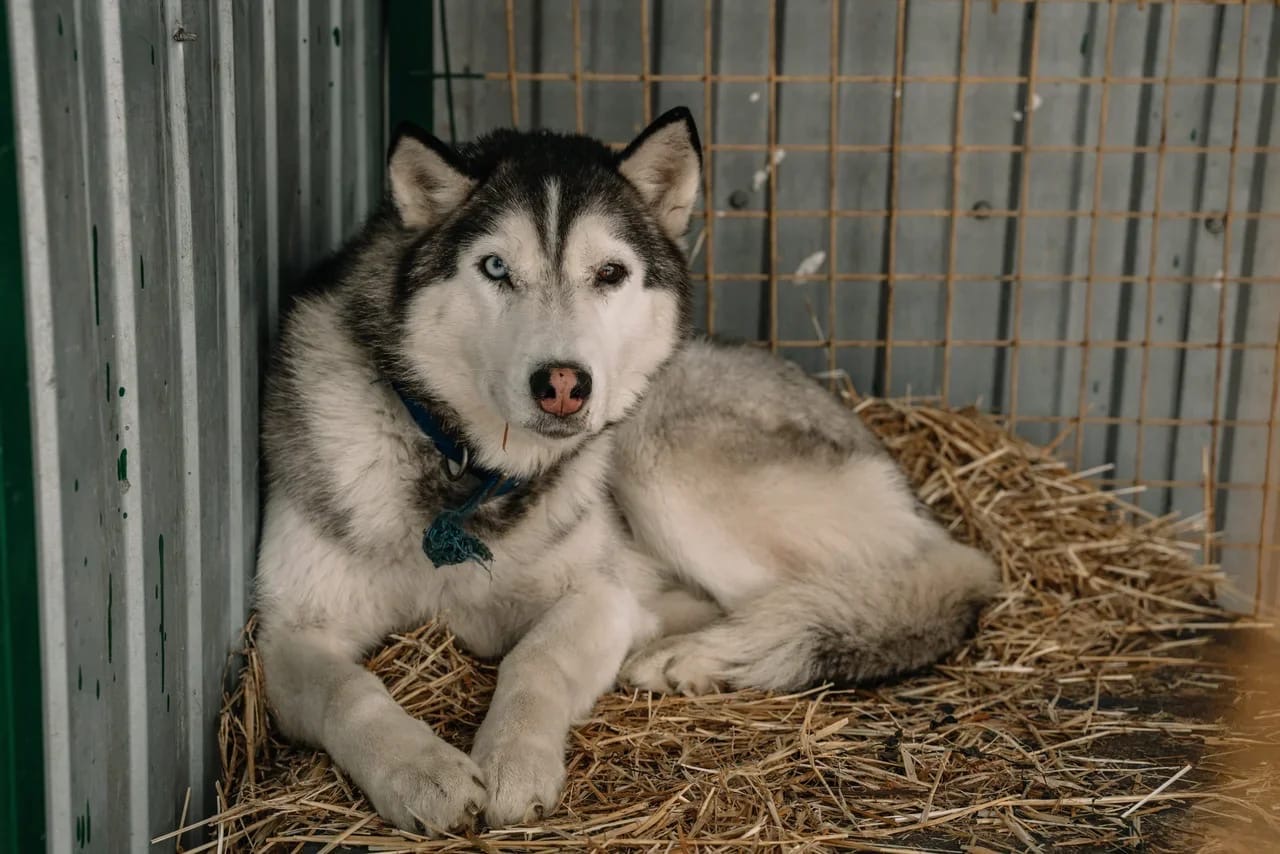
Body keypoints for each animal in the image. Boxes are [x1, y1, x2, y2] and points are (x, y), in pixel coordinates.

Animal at [252, 104, 998, 834]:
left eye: (609, 273)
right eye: (495, 268)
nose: (562, 384)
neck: (464, 476)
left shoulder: (599, 594)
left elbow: (536, 660)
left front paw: (513, 762)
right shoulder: (289, 632)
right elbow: (349, 691)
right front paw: (420, 772)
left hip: (656, 457)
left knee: (874, 588)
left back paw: (706, 653)